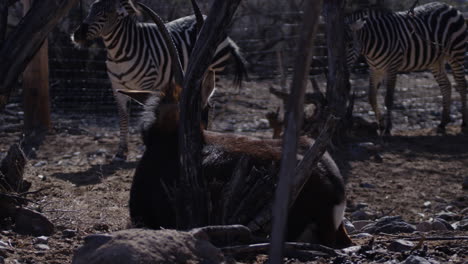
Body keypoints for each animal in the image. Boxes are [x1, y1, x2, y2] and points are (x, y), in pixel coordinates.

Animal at [71, 0, 247, 161]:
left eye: (105, 13)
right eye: (90, 9)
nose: (78, 35)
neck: (120, 54)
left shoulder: (146, 83)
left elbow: (141, 113)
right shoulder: (116, 87)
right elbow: (123, 116)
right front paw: (121, 153)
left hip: (215, 70)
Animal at [346, 1, 466, 134]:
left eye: (350, 45)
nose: (346, 81)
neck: (372, 44)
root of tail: (449, 6)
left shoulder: (392, 67)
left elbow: (388, 99)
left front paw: (388, 129)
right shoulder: (375, 69)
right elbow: (371, 98)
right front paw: (381, 125)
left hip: (457, 52)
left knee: (461, 84)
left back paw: (463, 124)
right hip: (436, 61)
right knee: (446, 85)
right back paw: (442, 123)